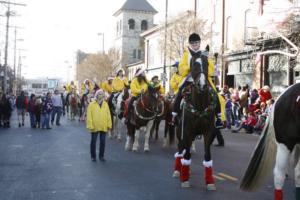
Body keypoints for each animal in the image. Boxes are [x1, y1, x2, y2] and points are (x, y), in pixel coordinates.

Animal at [172, 54, 219, 189]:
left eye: (207, 64)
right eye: (194, 64)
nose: (202, 85)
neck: (200, 106)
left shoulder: (209, 132)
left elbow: (207, 157)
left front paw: (210, 182)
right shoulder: (187, 131)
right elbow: (187, 155)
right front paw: (185, 180)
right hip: (180, 131)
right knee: (180, 150)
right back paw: (178, 170)